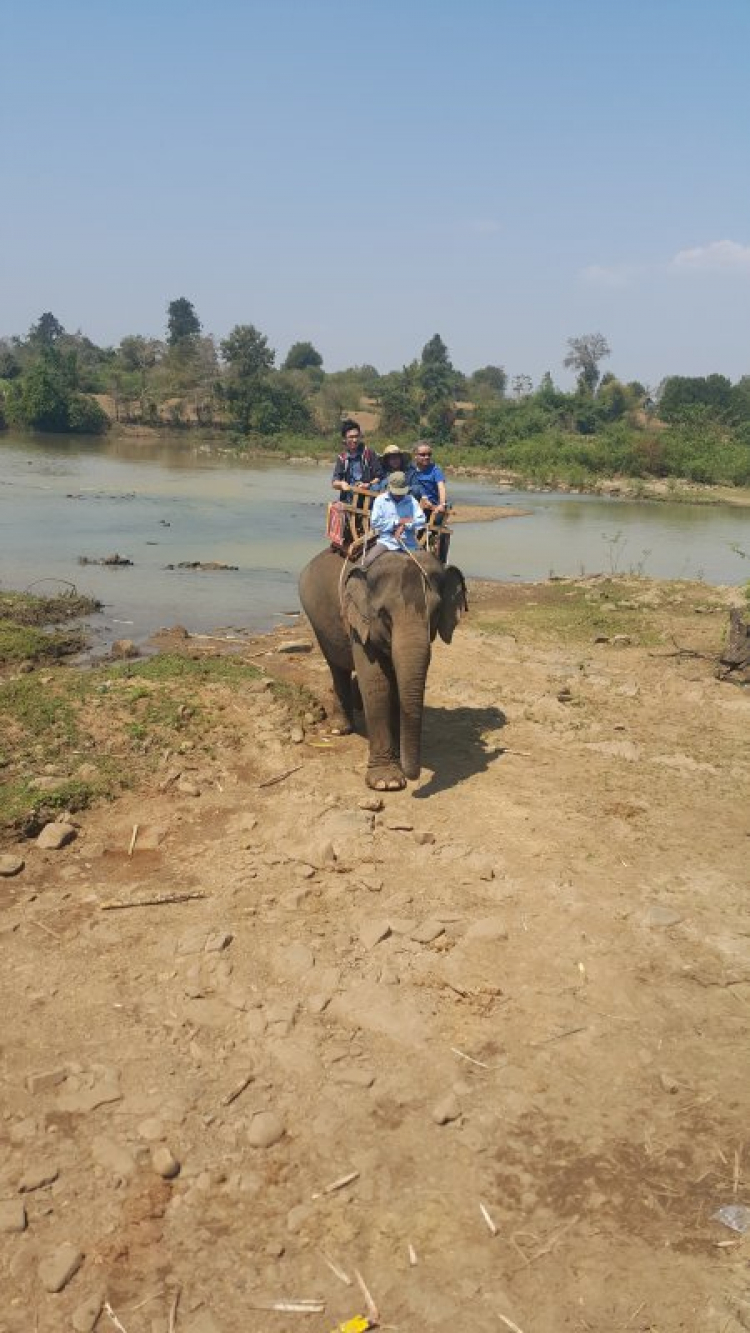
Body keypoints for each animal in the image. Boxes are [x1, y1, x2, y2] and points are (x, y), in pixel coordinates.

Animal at [297, 546, 466, 783]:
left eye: (436, 613)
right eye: (385, 616)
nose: (413, 776)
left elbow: (394, 686)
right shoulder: (359, 623)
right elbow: (376, 682)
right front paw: (387, 781)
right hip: (318, 622)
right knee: (336, 667)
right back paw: (340, 729)